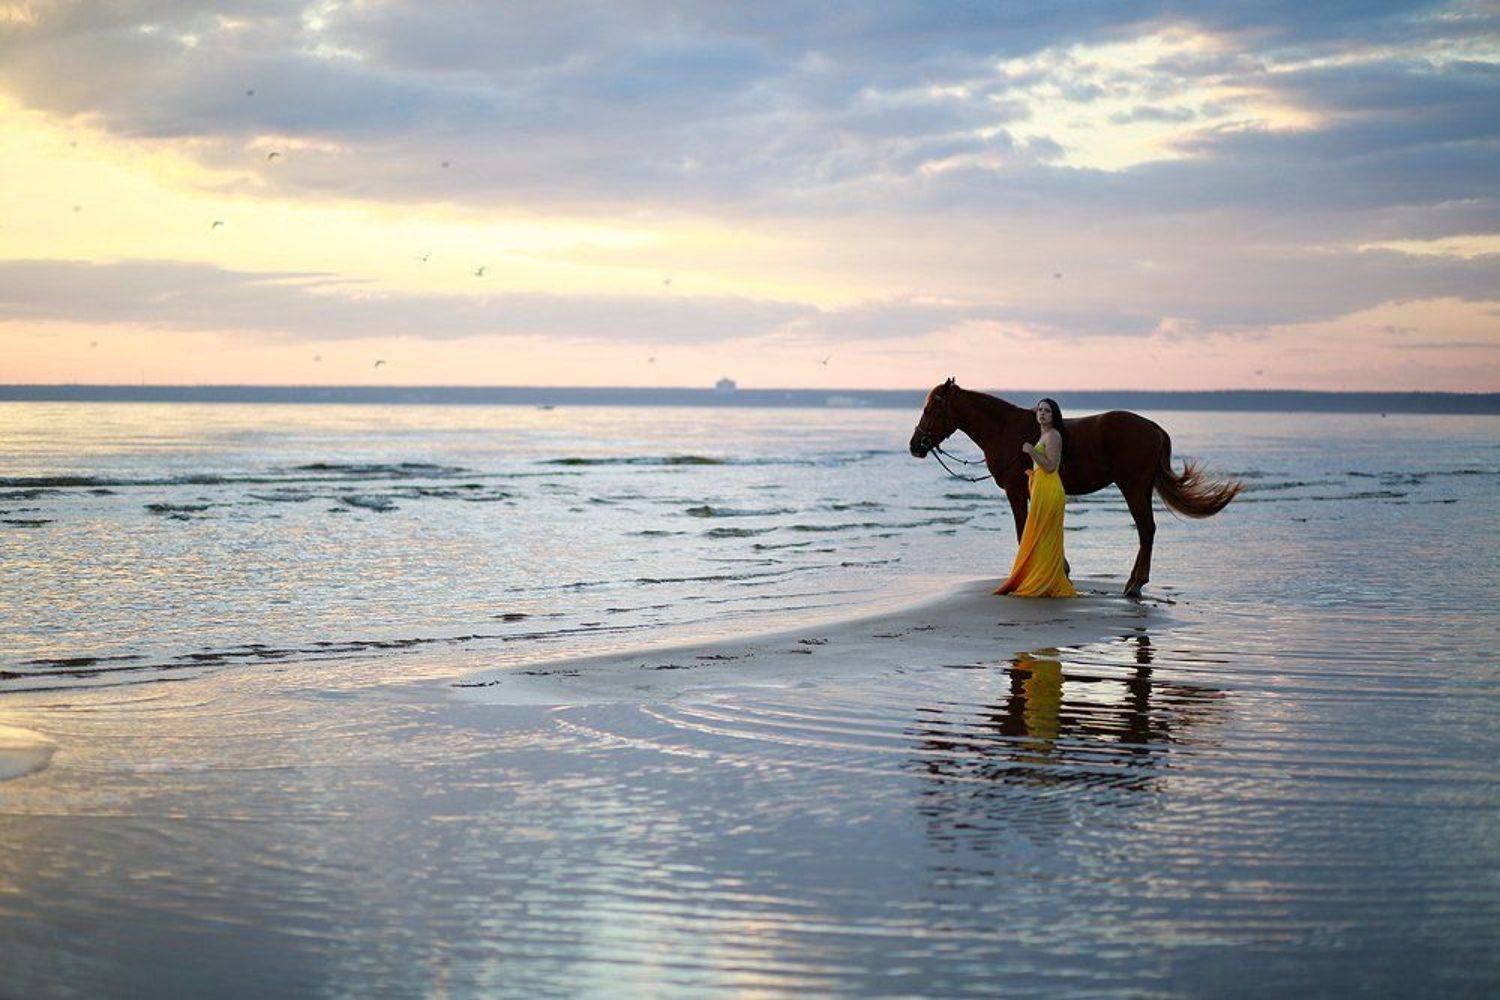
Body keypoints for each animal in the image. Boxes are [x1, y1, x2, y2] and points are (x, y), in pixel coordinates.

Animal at [908, 378, 1242, 596]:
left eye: (931, 409)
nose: (915, 445)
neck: (1005, 430)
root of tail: (1154, 428)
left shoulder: (1015, 490)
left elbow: (1021, 530)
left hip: (1133, 487)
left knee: (1146, 529)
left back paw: (1134, 585)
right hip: (1141, 488)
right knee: (1147, 530)